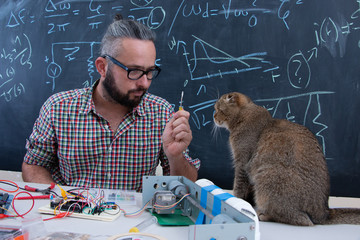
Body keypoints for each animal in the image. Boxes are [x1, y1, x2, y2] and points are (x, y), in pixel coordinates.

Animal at [214, 91, 360, 225]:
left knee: (303, 220)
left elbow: (238, 186)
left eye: (218, 109)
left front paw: (236, 202)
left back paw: (264, 215)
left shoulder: (242, 163)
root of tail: (324, 212)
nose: (213, 116)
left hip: (267, 176)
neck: (245, 114)